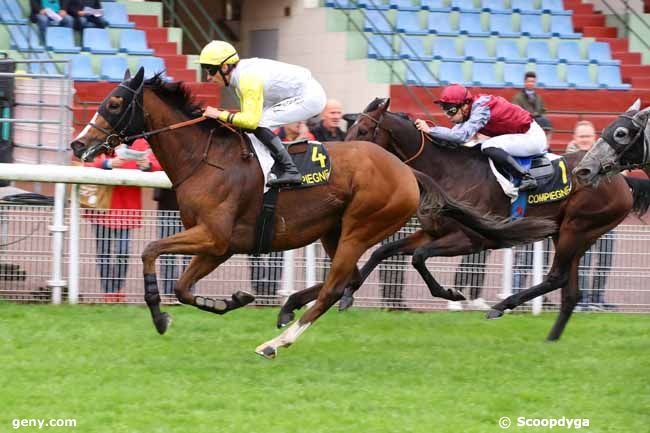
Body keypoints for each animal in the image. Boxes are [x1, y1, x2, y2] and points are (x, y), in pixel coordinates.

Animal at [67, 67, 552, 358]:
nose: (77, 143)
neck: (204, 158)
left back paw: (277, 340)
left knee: (337, 286)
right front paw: (230, 299)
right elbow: (184, 289)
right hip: (333, 231)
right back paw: (286, 309)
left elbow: (149, 250)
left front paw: (158, 313)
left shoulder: (214, 237)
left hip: (360, 225)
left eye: (114, 103)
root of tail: (406, 170)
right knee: (349, 279)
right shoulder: (218, 246)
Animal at [336, 98, 648, 340]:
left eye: (363, 129)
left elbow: (419, 257)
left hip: (578, 229)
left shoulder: (471, 239)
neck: (446, 171)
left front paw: (452, 294)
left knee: (556, 278)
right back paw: (550, 340)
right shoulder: (432, 231)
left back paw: (501, 307)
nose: (341, 158)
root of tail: (623, 180)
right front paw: (347, 293)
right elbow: (384, 251)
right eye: (351, 127)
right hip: (567, 233)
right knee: (570, 293)